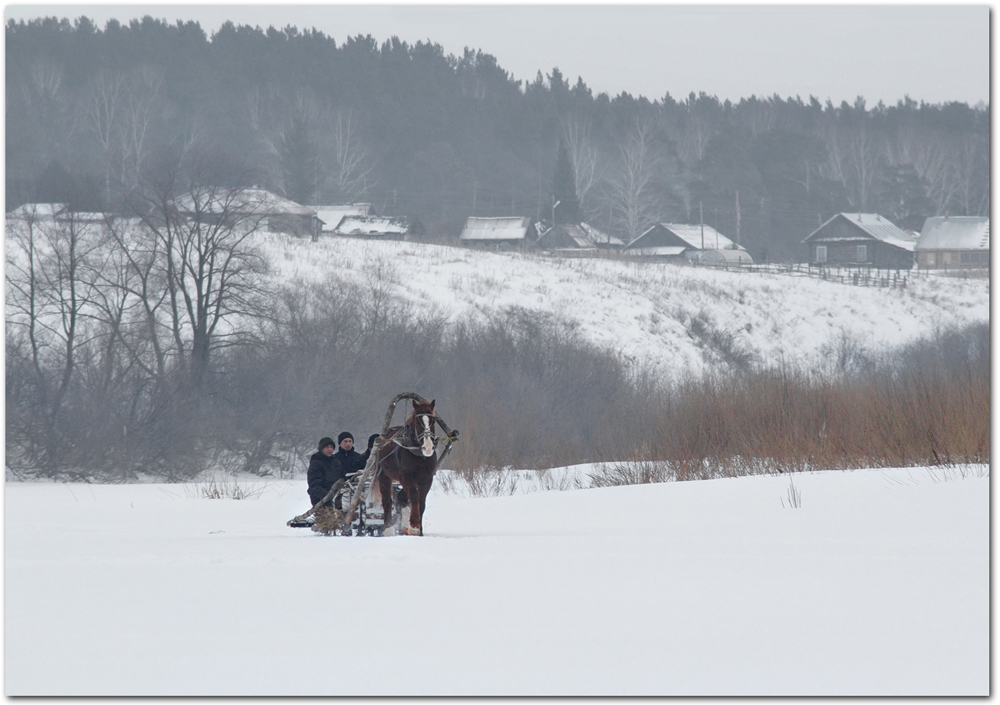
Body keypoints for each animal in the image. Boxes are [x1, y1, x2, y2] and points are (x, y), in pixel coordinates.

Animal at [374, 402, 440, 532]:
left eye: (433, 421)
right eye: (418, 422)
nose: (428, 447)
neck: (420, 457)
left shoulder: (427, 479)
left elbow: (421, 502)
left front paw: (419, 530)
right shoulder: (406, 477)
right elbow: (414, 495)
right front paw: (414, 523)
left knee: (402, 497)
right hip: (384, 475)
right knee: (387, 500)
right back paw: (388, 528)